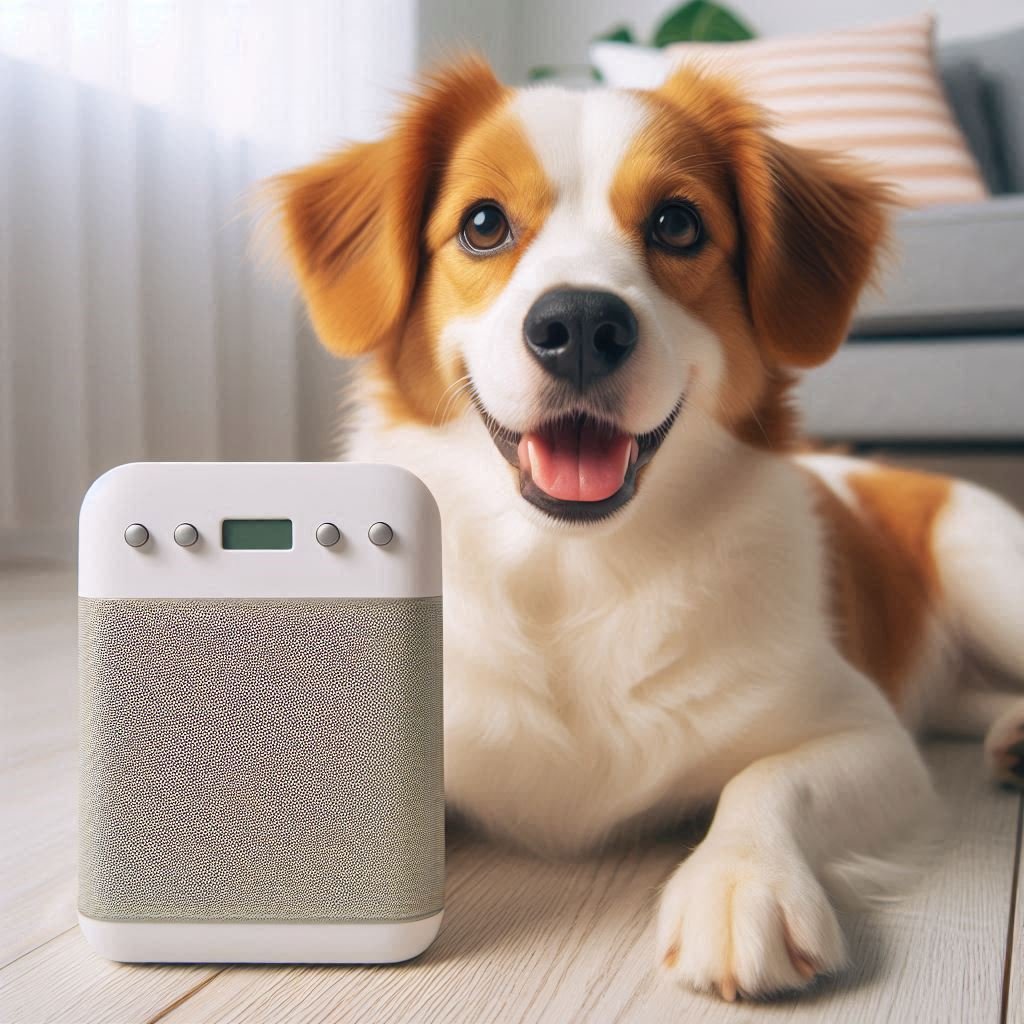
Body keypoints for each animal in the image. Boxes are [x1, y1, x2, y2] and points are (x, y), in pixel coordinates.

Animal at [272, 58, 1024, 999]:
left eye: (676, 222)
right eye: (483, 224)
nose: (579, 326)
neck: (572, 571)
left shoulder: (863, 732)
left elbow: (768, 783)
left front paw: (742, 880)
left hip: (983, 567)